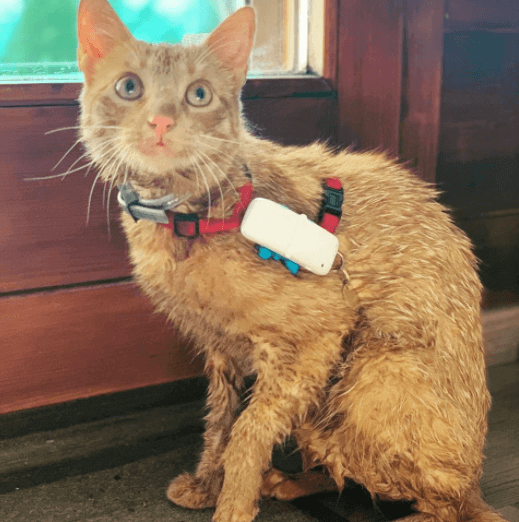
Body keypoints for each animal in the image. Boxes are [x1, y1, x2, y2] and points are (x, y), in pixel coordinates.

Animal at [77, 1, 508, 520]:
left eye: (198, 95)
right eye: (129, 87)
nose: (161, 122)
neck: (185, 219)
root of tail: (478, 480)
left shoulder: (313, 340)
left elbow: (247, 433)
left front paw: (231, 506)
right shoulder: (223, 352)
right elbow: (219, 424)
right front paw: (206, 485)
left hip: (366, 378)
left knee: (443, 502)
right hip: (327, 399)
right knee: (336, 464)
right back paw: (288, 481)